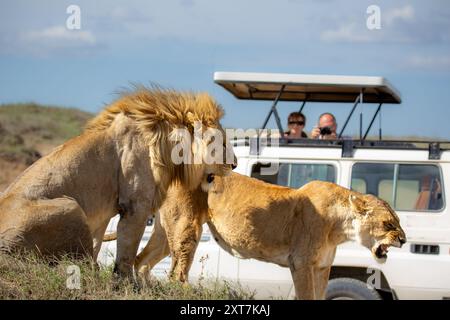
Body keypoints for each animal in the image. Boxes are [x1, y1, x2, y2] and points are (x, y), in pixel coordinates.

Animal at [0, 86, 237, 276]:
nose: (235, 164)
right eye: (224, 143)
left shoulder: (104, 213)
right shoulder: (135, 206)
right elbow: (127, 252)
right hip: (70, 205)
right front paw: (125, 284)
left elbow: (97, 243)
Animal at [125, 172, 406, 300]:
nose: (403, 240)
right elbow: (306, 296)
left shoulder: (322, 267)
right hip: (187, 230)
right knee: (175, 275)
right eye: (388, 223)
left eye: (399, 222)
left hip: (165, 233)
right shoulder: (301, 263)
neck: (340, 229)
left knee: (141, 262)